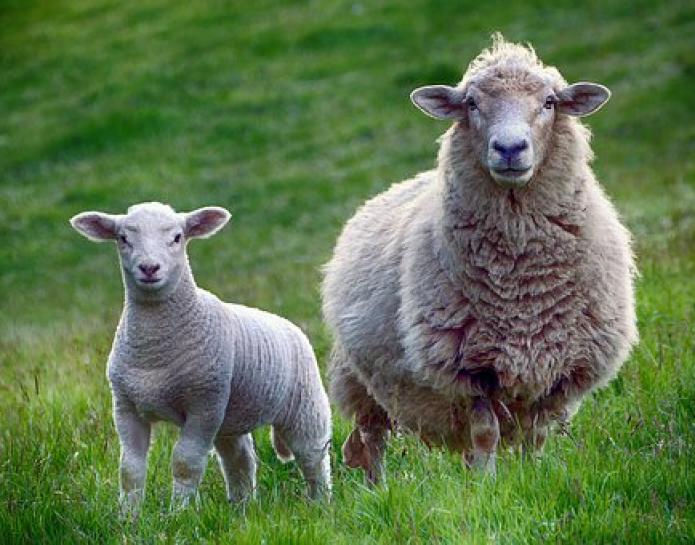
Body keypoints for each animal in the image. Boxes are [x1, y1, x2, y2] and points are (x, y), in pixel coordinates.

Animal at [70, 202, 332, 513]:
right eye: (123, 238)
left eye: (177, 237)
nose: (149, 268)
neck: (153, 350)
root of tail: (290, 326)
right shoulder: (125, 406)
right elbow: (130, 469)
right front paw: (128, 516)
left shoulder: (204, 404)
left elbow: (186, 462)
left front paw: (178, 513)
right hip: (231, 417)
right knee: (240, 460)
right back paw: (242, 508)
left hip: (304, 404)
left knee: (313, 455)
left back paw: (321, 504)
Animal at [321, 35, 638, 483]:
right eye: (471, 103)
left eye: (549, 102)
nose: (509, 148)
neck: (522, 284)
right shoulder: (469, 370)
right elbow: (486, 433)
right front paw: (487, 485)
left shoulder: (558, 367)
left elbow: (536, 435)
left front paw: (531, 476)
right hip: (359, 380)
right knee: (372, 438)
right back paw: (377, 488)